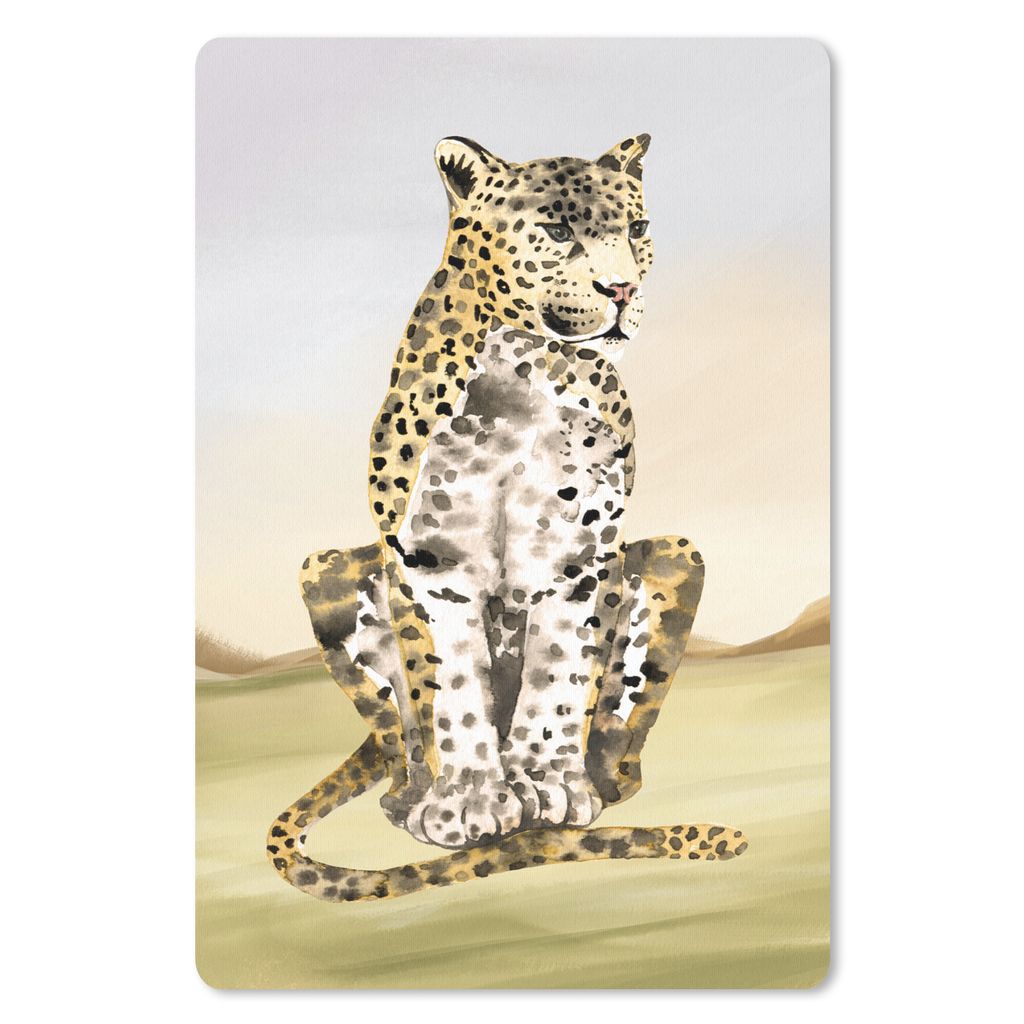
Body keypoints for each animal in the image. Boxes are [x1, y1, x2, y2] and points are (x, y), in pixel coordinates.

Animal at [267, 135, 748, 902]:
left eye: (638, 230)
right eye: (556, 230)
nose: (622, 291)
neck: (529, 370)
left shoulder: (583, 553)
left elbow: (560, 674)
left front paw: (547, 787)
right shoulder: (427, 559)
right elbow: (450, 688)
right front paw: (467, 803)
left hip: (677, 553)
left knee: (621, 756)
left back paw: (587, 795)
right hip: (325, 572)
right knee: (397, 752)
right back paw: (416, 801)